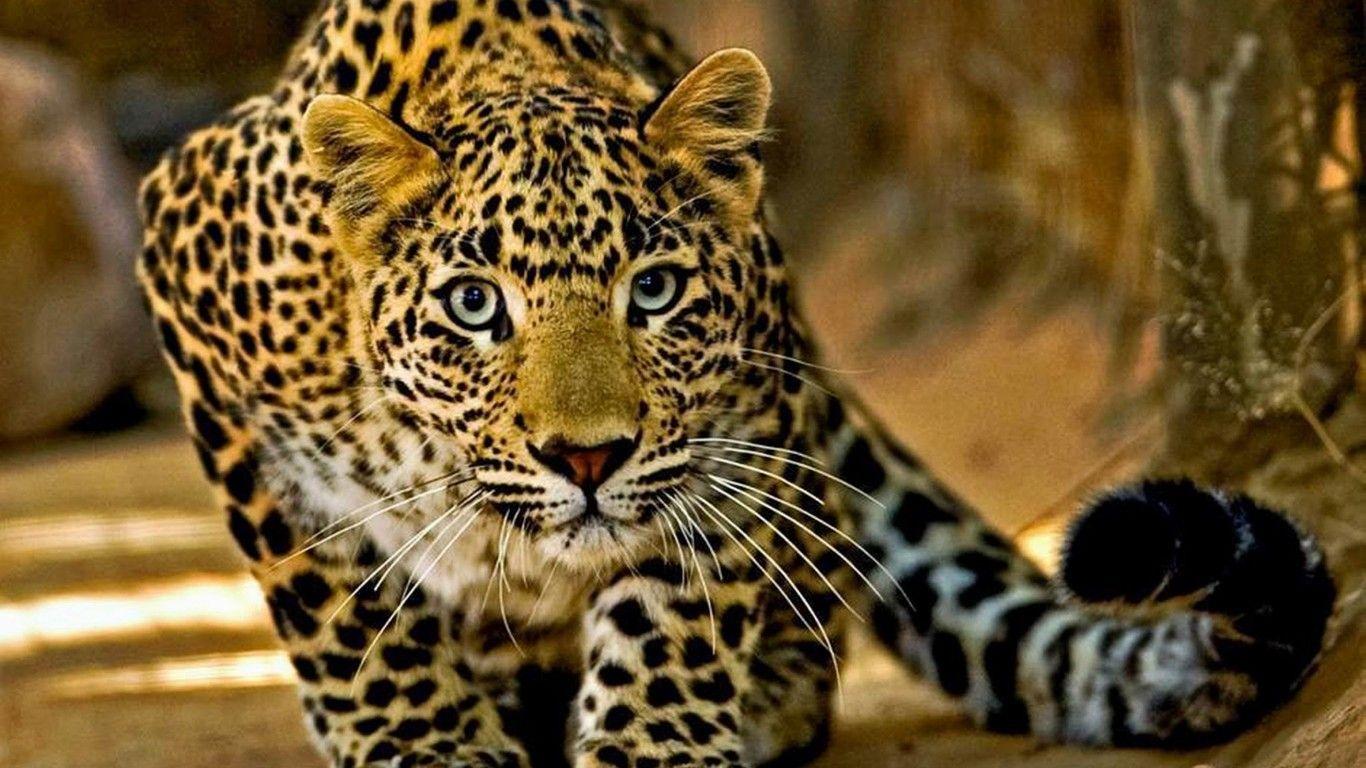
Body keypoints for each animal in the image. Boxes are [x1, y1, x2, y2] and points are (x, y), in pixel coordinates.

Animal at [136, 1, 1337, 766]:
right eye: (474, 305)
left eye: (657, 290)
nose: (585, 458)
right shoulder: (190, 284)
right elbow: (337, 604)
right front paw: (420, 741)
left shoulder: (737, 427)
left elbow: (672, 612)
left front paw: (651, 743)